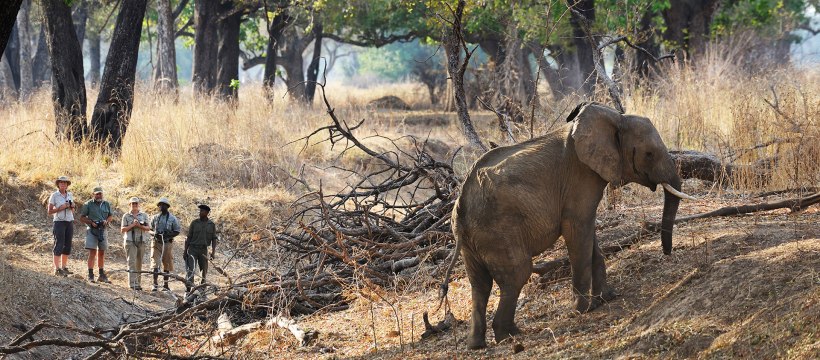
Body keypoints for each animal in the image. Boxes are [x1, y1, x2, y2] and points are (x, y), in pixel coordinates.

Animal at [442, 101, 692, 348]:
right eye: (649, 154)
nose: (667, 252)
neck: (615, 118)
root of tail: (461, 206)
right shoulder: (580, 177)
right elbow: (577, 230)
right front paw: (584, 309)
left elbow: (588, 234)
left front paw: (606, 298)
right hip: (498, 232)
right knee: (516, 276)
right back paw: (511, 335)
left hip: (472, 240)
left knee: (480, 285)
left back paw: (476, 344)